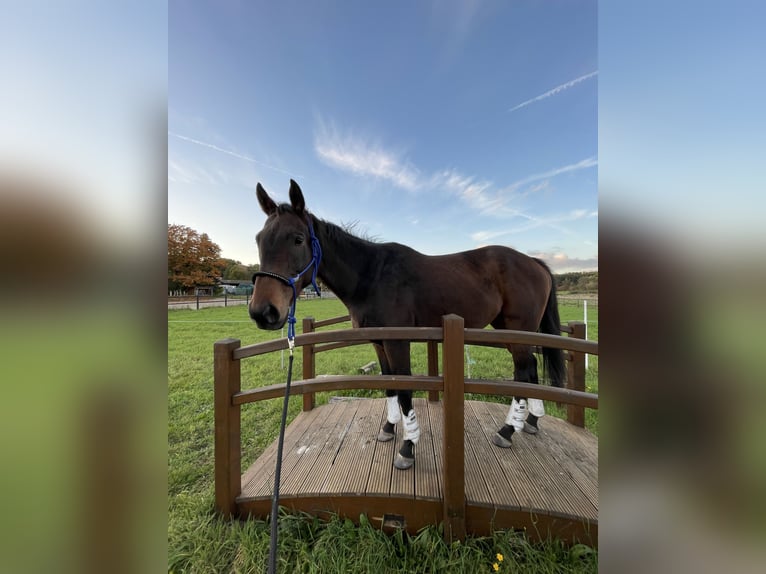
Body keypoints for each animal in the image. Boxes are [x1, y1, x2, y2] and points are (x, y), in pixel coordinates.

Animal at [249, 181, 568, 472]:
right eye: (259, 239)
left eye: (298, 239)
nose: (262, 312)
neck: (371, 276)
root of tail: (535, 262)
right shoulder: (378, 343)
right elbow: (389, 385)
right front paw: (389, 429)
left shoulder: (397, 342)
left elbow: (403, 389)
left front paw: (407, 447)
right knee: (532, 369)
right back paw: (530, 421)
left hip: (517, 330)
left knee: (524, 371)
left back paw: (507, 431)